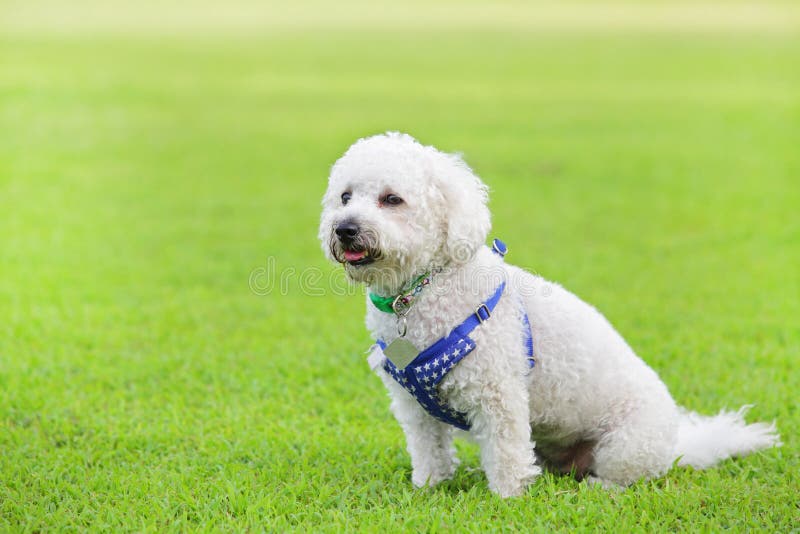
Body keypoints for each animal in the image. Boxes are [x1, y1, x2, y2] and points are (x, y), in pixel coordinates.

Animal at [320, 131, 780, 498]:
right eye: (344, 197)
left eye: (392, 199)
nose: (344, 229)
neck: (422, 289)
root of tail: (679, 444)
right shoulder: (413, 404)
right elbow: (429, 449)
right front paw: (428, 487)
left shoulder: (498, 393)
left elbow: (506, 452)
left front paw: (507, 498)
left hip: (627, 444)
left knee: (625, 477)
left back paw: (597, 488)